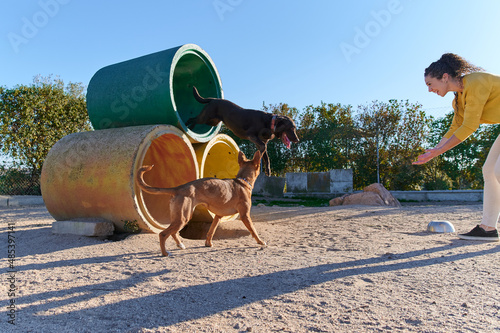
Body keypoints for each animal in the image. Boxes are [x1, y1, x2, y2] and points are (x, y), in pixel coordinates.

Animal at [135, 150, 268, 256]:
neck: (242, 181)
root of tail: (178, 188)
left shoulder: (218, 216)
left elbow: (211, 231)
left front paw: (208, 244)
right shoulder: (245, 215)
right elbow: (253, 231)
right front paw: (261, 242)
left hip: (180, 217)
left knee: (173, 232)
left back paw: (180, 245)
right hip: (183, 217)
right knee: (163, 234)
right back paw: (165, 253)